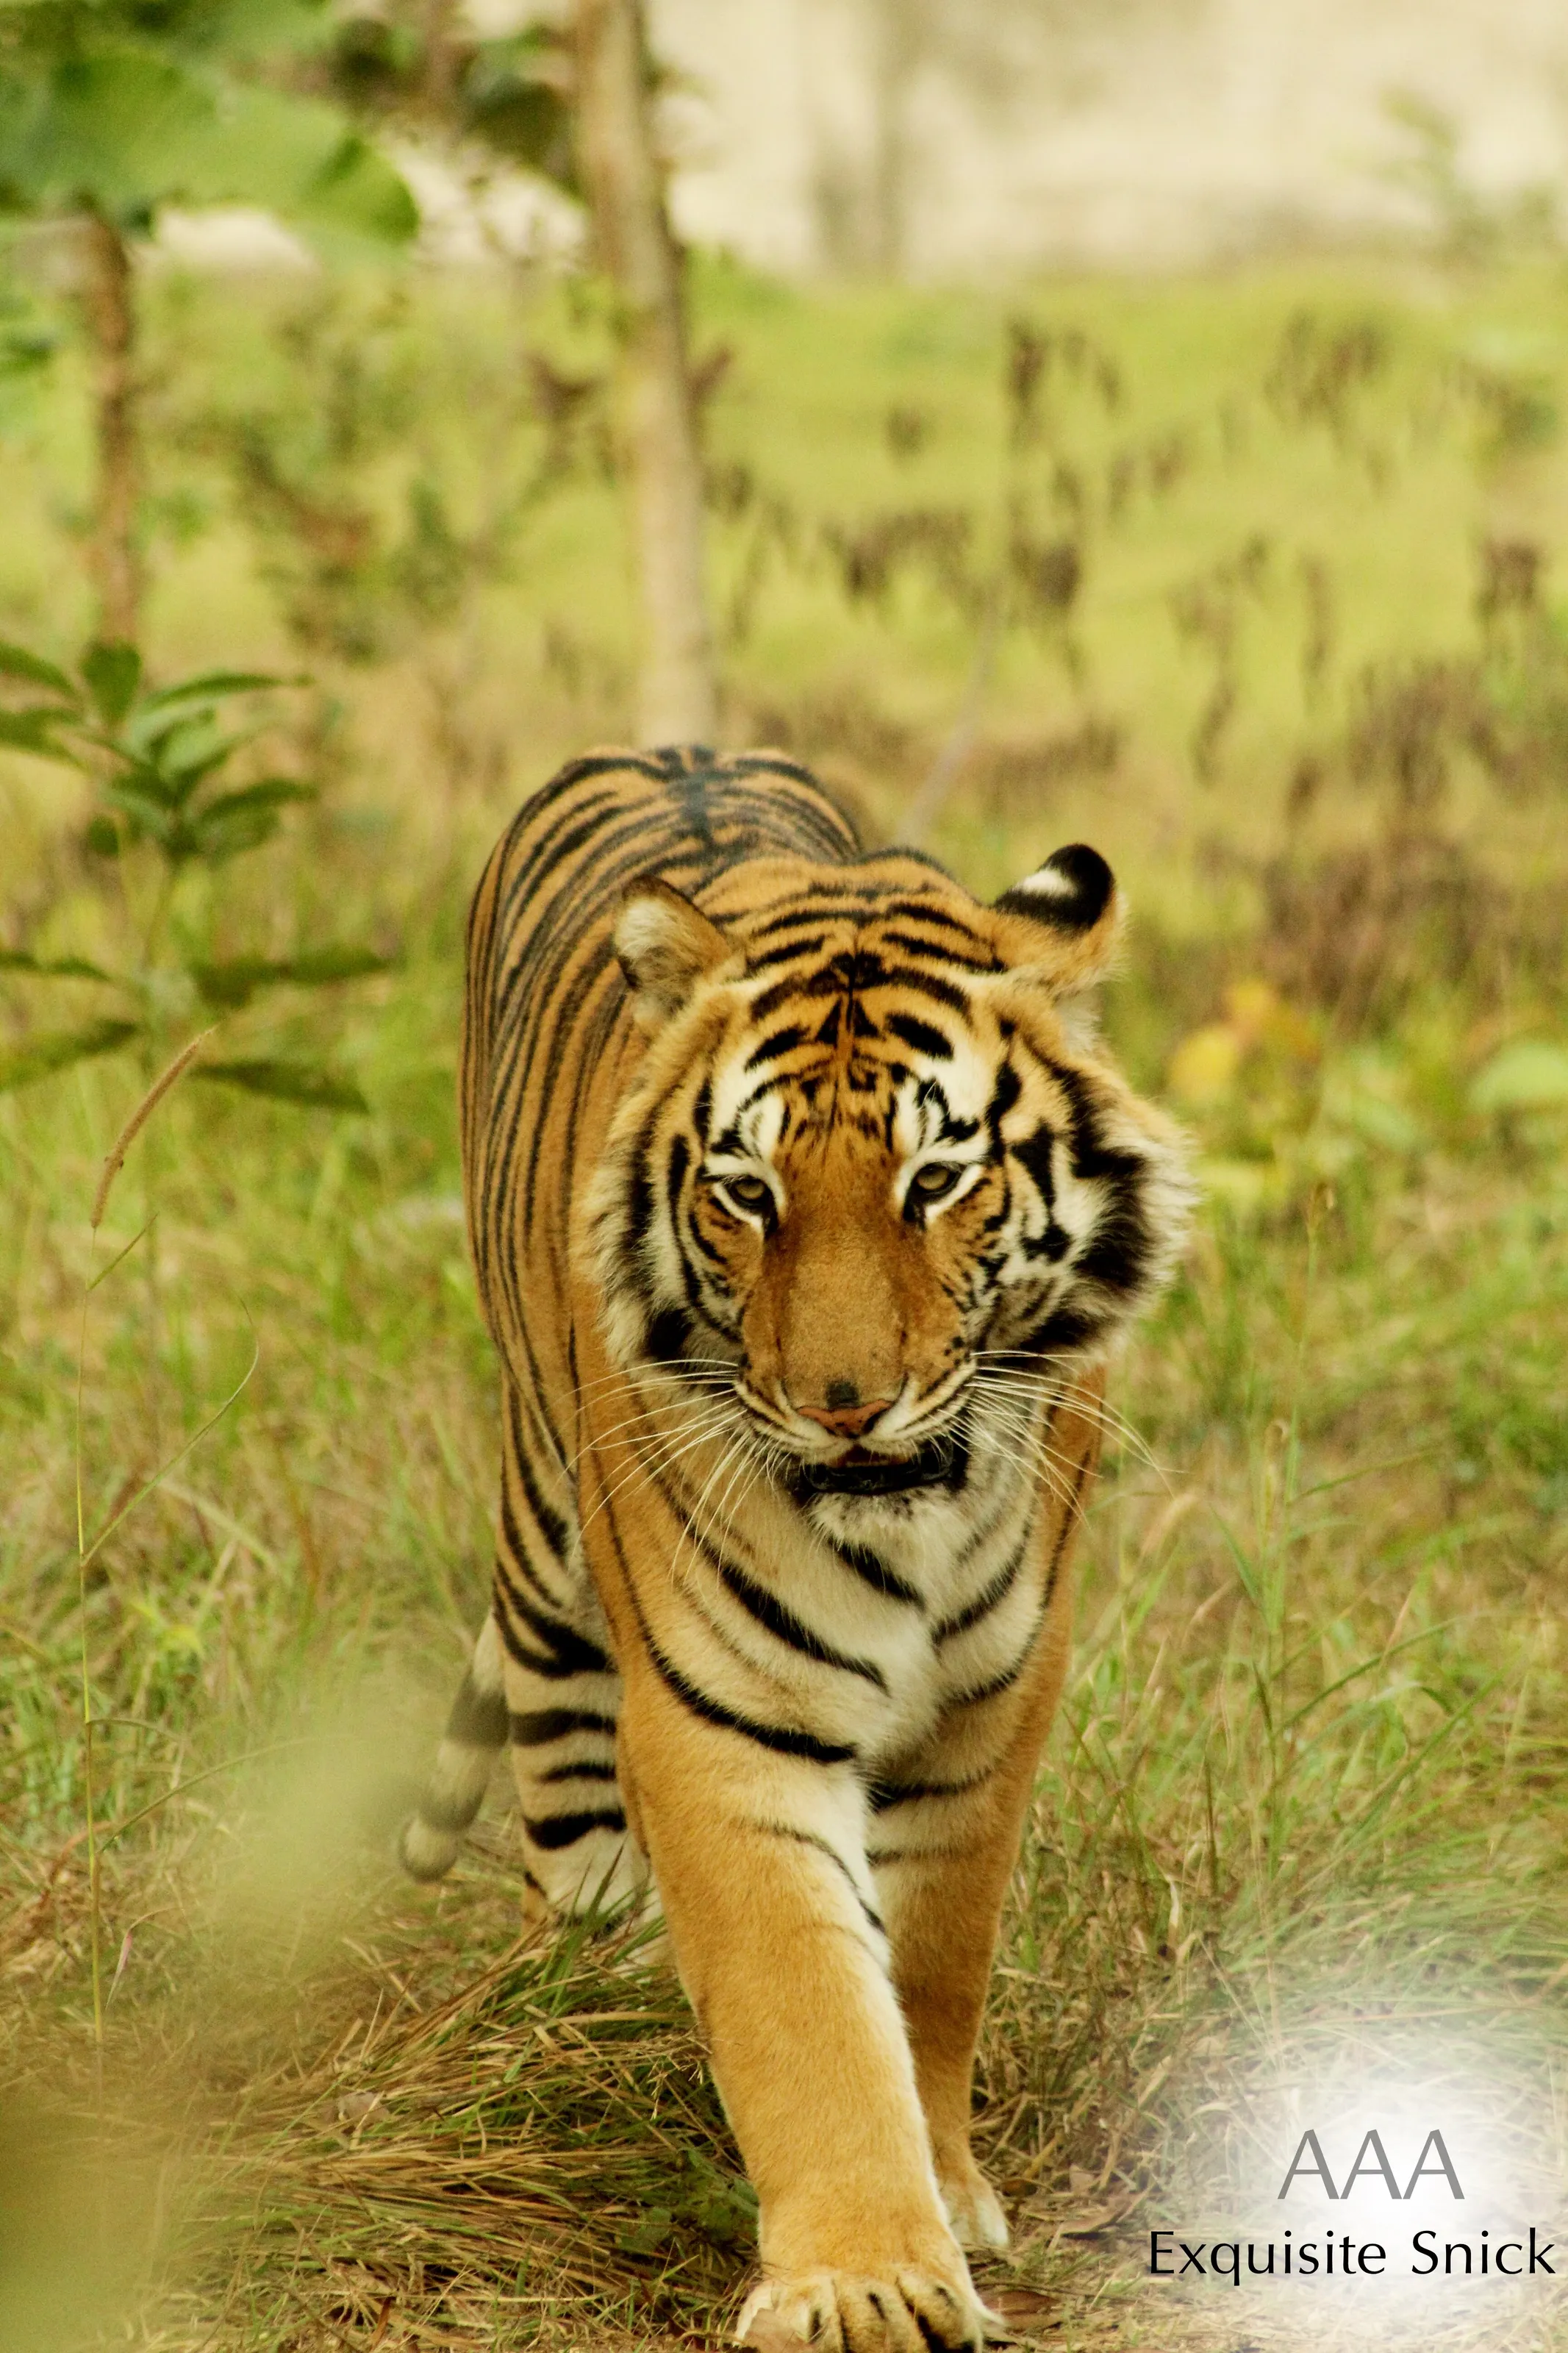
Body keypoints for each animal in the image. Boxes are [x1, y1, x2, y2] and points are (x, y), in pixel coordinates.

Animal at [401, 743, 1190, 2352]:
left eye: (934, 1182)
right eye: (746, 1193)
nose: (843, 1404)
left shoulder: (988, 1706)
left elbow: (930, 1965)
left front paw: (944, 2192)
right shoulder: (726, 1721)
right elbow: (800, 2005)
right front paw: (864, 2277)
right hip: (547, 1553)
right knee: (569, 1809)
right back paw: (583, 2006)